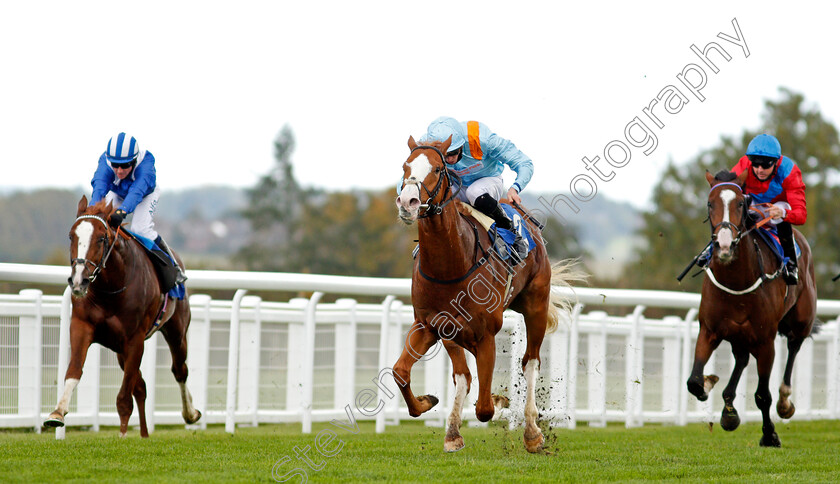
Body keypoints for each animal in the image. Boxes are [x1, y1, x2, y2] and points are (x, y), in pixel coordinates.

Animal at [45, 195, 203, 436]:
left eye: (101, 238)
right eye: (71, 236)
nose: (79, 281)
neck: (111, 288)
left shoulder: (135, 339)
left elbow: (123, 398)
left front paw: (121, 436)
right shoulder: (82, 326)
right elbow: (74, 371)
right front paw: (57, 413)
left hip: (176, 331)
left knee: (179, 370)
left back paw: (190, 414)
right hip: (119, 348)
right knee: (141, 387)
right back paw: (144, 434)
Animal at [392, 137, 576, 454]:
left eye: (438, 168)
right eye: (405, 166)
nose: (408, 202)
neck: (450, 264)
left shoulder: (486, 334)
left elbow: (485, 408)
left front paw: (501, 402)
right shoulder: (430, 325)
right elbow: (401, 372)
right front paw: (430, 405)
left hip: (536, 305)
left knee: (530, 362)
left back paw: (533, 433)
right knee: (463, 376)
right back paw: (453, 431)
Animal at [684, 170, 816, 446]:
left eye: (741, 204)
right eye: (709, 203)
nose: (724, 244)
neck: (736, 280)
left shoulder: (765, 341)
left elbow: (762, 395)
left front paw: (769, 434)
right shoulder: (709, 330)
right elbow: (694, 381)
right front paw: (709, 387)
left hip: (801, 319)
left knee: (794, 346)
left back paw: (784, 402)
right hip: (738, 333)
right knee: (742, 358)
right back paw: (728, 410)